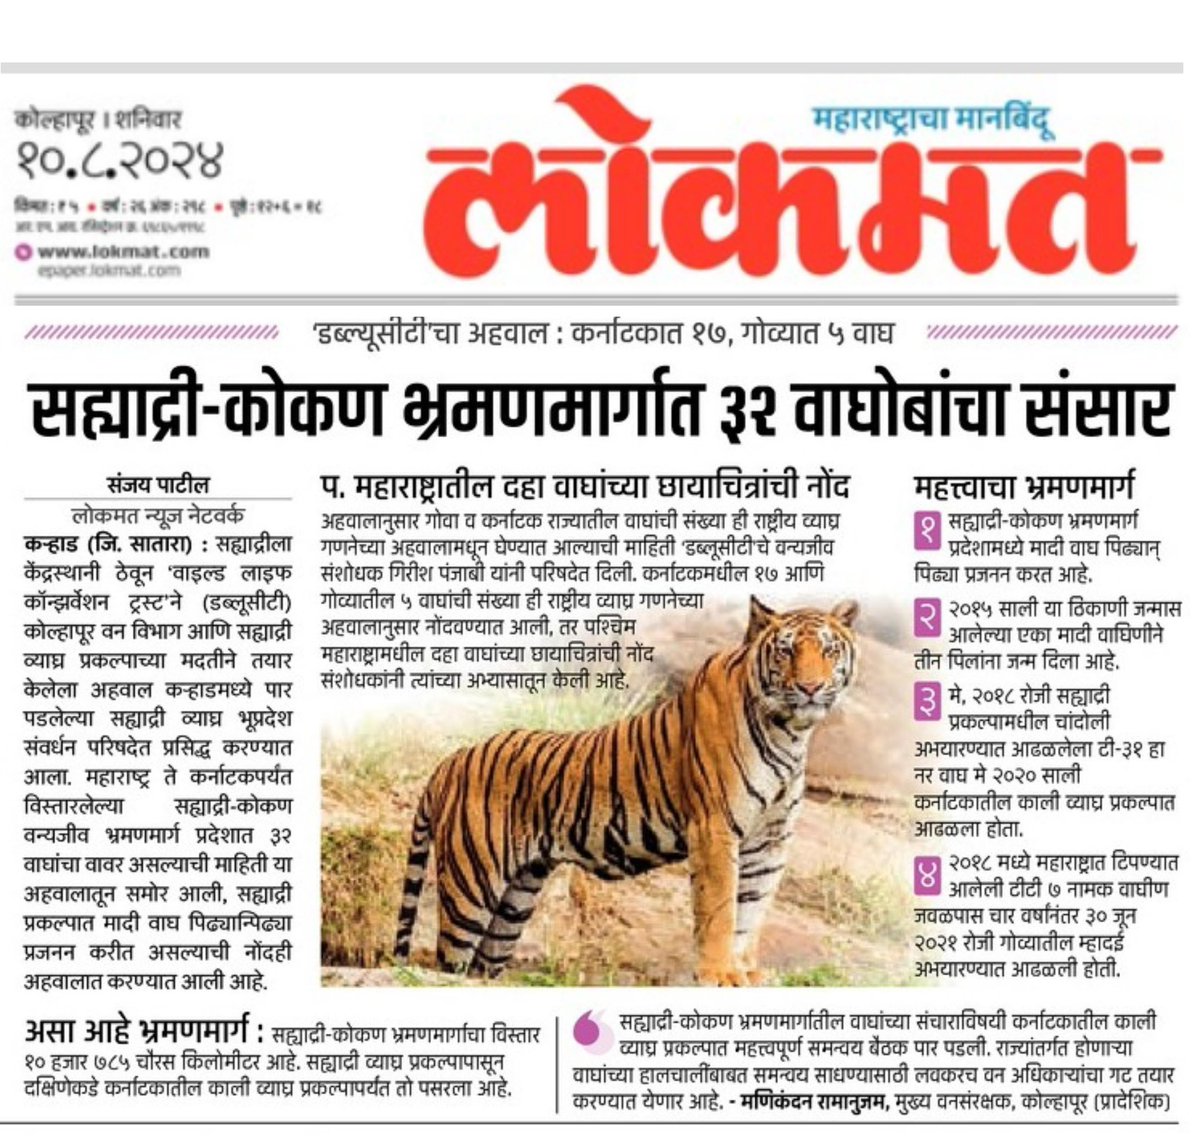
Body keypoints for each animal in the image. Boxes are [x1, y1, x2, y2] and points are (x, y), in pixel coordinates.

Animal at [393, 596, 859, 985]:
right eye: (786, 651)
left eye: (828, 650)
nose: (811, 688)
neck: (790, 732)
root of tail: (452, 759)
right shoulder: (715, 830)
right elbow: (721, 910)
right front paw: (718, 975)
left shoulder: (770, 840)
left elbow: (752, 911)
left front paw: (744, 973)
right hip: (471, 888)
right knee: (448, 961)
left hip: (515, 899)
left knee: (481, 967)